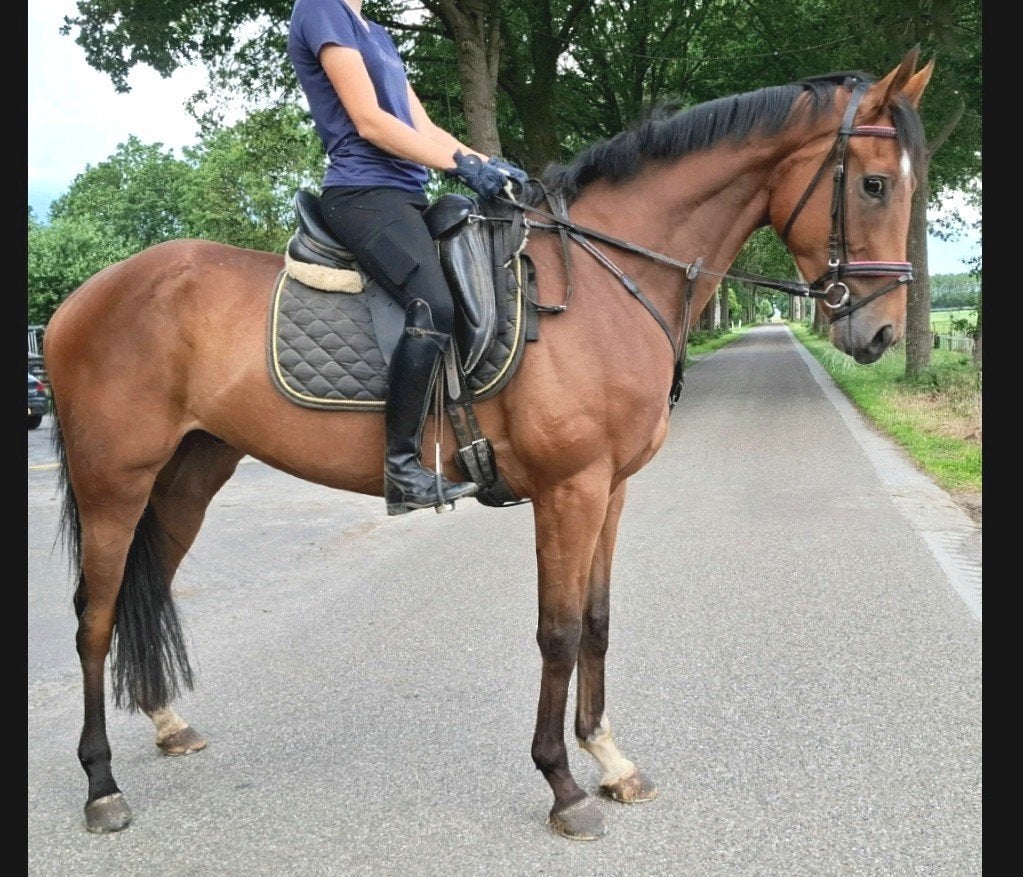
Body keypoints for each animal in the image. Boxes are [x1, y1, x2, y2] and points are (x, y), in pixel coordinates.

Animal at [42, 48, 932, 840]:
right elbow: (557, 630)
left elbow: (597, 620)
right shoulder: (569, 489)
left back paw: (166, 722)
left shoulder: (610, 488)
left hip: (189, 475)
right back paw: (101, 785)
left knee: (142, 590)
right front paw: (564, 785)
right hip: (113, 479)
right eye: (874, 183)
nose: (879, 332)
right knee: (92, 616)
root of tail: (82, 297)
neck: (604, 281)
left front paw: (610, 760)